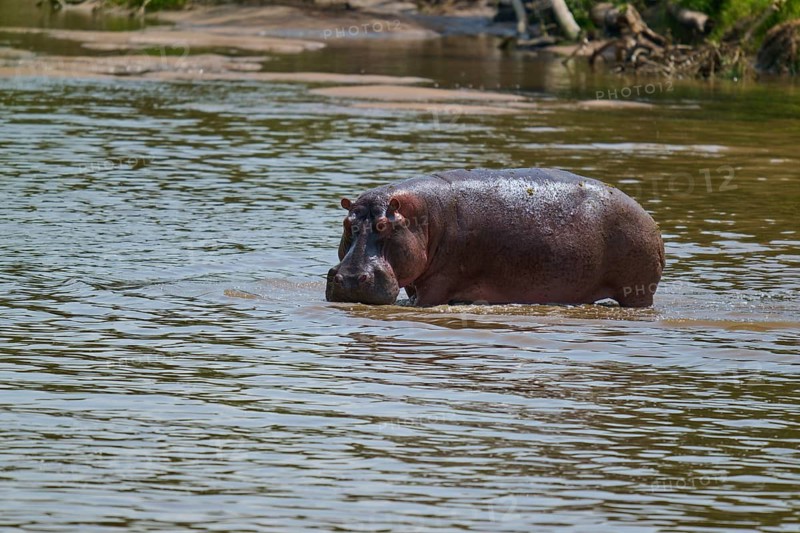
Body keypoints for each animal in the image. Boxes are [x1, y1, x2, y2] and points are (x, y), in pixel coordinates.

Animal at [326, 168, 665, 307]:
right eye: (347, 223)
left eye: (384, 225)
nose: (351, 279)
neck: (421, 217)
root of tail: (649, 217)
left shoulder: (438, 284)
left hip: (637, 292)